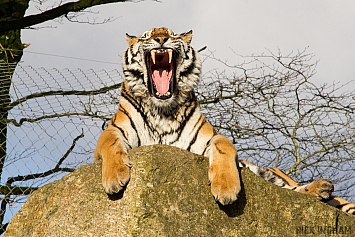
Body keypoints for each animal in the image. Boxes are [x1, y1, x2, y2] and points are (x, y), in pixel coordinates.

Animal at [94, 26, 355, 214]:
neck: (163, 109)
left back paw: (321, 188)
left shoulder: (207, 139)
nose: (160, 39)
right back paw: (321, 190)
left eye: (172, 34)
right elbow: (110, 143)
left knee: (294, 189)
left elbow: (224, 146)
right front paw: (116, 177)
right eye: (147, 36)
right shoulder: (112, 133)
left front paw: (227, 188)